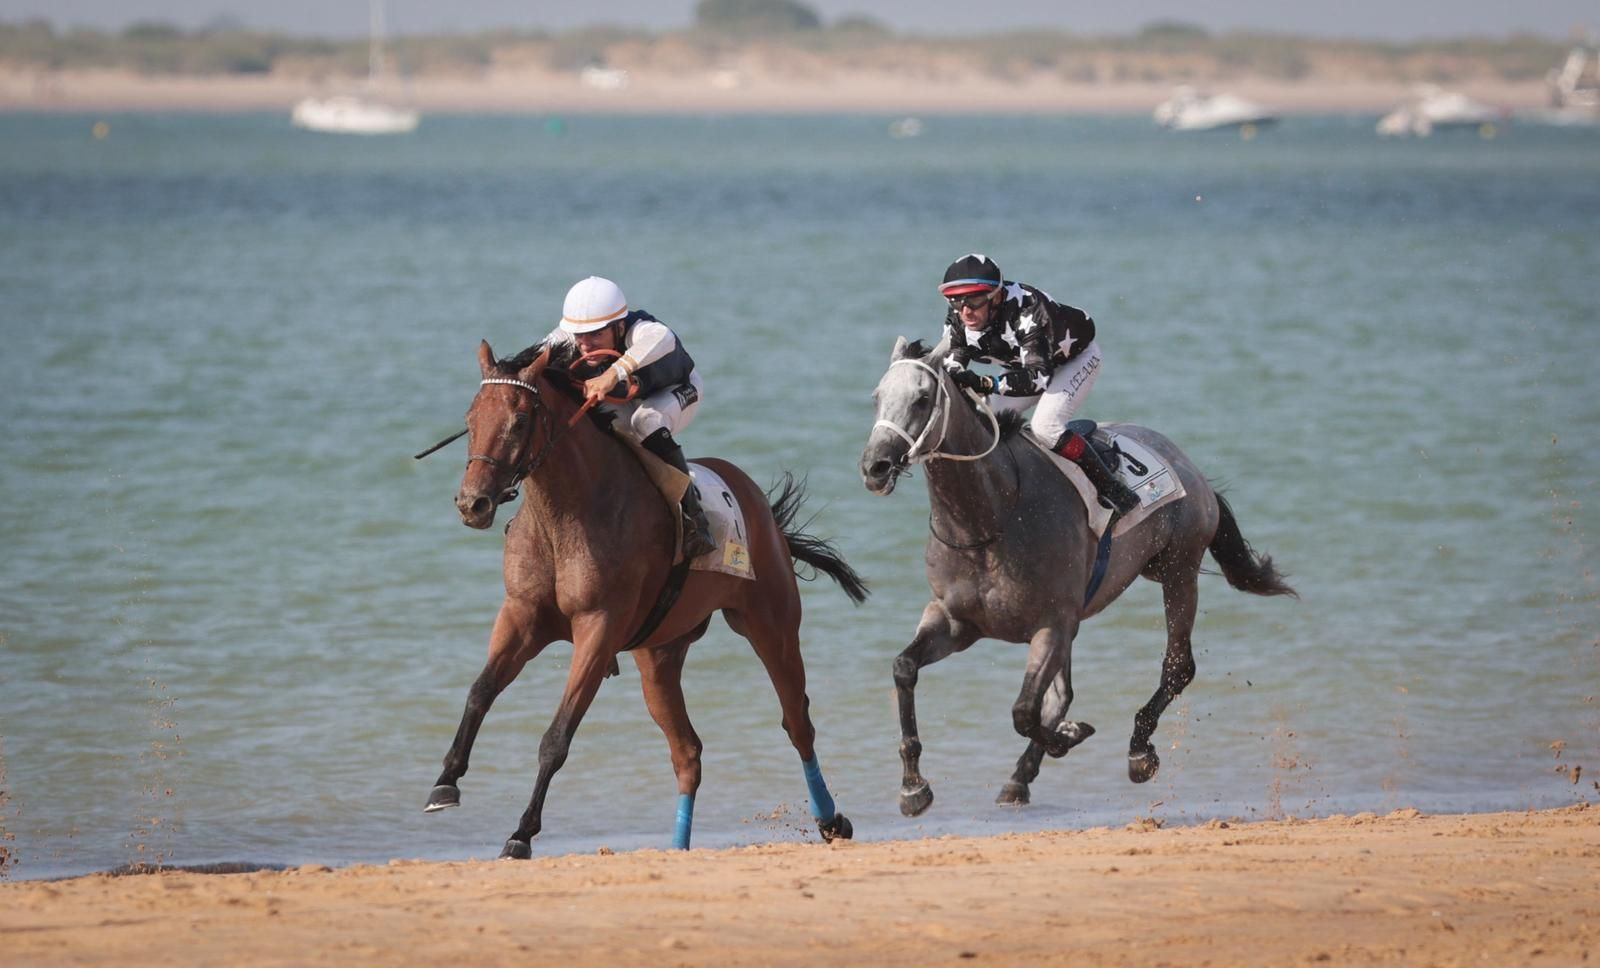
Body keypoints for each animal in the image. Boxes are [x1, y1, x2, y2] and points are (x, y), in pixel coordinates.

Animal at [423, 340, 867, 858]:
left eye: (519, 419)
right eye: (471, 417)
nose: (472, 504)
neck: (566, 515)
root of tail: (758, 502)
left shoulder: (598, 627)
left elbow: (556, 737)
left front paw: (521, 833)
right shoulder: (521, 615)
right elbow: (480, 692)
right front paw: (445, 783)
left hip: (770, 625)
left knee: (797, 722)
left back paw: (831, 819)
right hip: (659, 656)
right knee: (688, 752)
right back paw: (678, 846)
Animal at [859, 336, 1295, 816]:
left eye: (921, 399)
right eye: (877, 397)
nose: (875, 467)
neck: (990, 517)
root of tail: (1188, 466)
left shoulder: (1052, 624)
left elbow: (1024, 711)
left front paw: (1068, 736)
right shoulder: (956, 622)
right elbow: (904, 668)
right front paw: (913, 787)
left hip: (1179, 571)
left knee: (1178, 666)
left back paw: (1139, 750)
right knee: (1064, 694)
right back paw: (1020, 777)